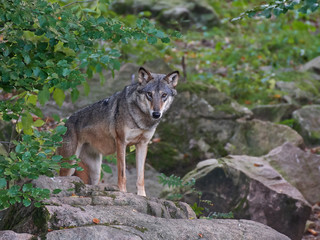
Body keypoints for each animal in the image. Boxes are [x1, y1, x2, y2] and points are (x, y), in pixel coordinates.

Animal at [58, 66, 179, 196]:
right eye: (149, 94)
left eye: (164, 95)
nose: (156, 114)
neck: (142, 121)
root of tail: (65, 122)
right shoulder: (121, 142)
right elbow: (122, 174)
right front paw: (123, 192)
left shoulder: (143, 144)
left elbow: (141, 177)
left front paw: (142, 196)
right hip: (69, 165)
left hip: (95, 172)